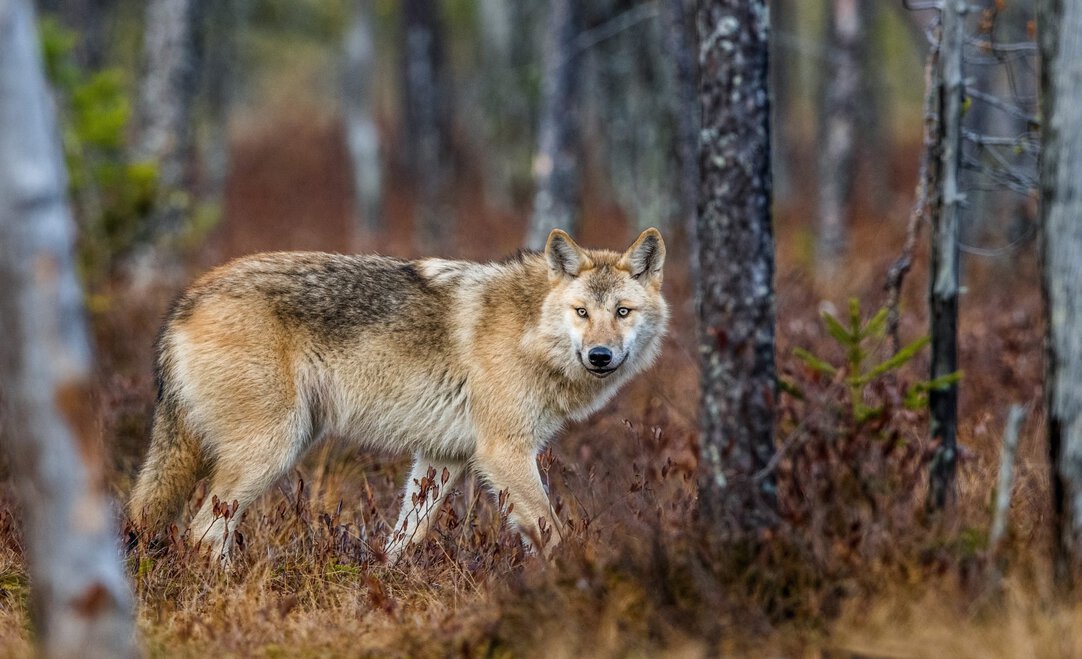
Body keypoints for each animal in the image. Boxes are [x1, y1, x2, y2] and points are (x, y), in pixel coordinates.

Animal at [128, 228, 669, 559]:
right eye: (582, 312)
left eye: (622, 312)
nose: (600, 355)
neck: (529, 329)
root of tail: (184, 302)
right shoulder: (505, 454)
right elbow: (552, 534)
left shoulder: (442, 457)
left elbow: (404, 538)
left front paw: (383, 583)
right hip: (271, 451)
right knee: (202, 533)